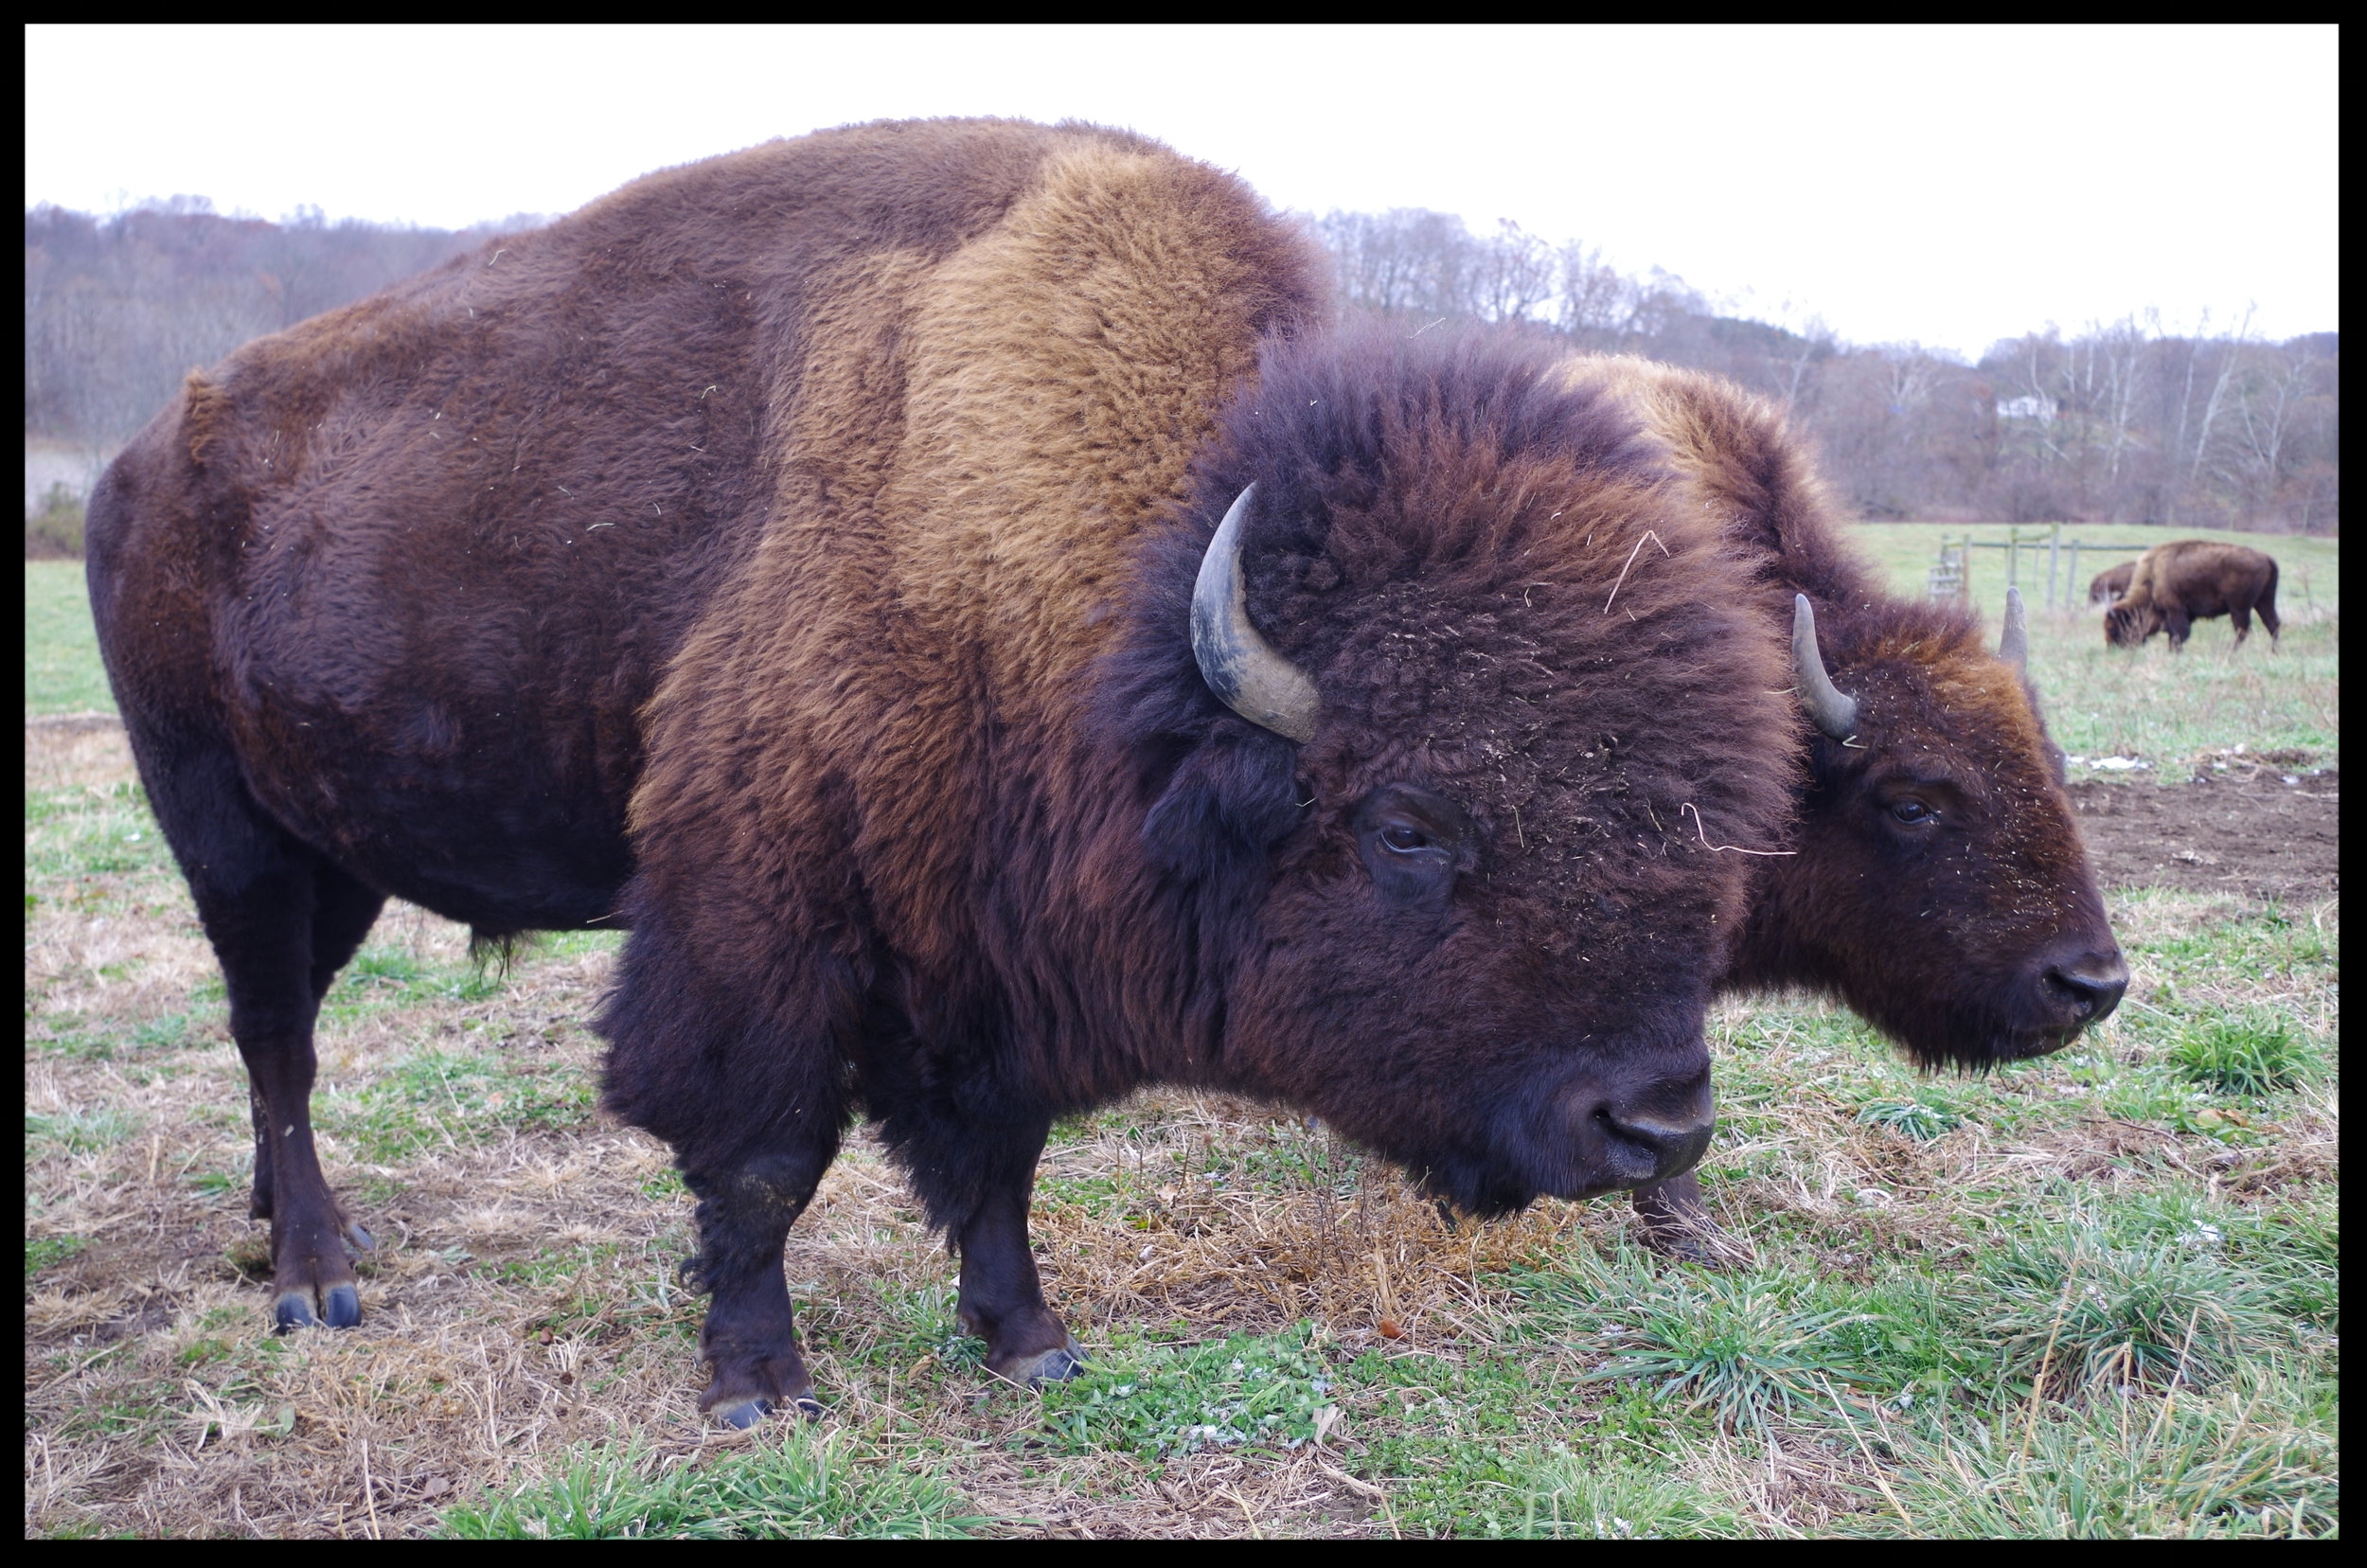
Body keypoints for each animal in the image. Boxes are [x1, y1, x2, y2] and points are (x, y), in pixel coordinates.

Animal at [87, 123, 1808, 1420]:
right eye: (1409, 826)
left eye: (1717, 820)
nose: (1658, 1125)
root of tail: (133, 466)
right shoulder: (758, 925)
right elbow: (761, 1160)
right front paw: (756, 1388)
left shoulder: (982, 949)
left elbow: (995, 1160)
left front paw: (1030, 1341)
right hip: (223, 832)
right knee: (275, 1041)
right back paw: (318, 1280)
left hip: (335, 861)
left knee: (284, 1035)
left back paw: (290, 1235)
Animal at [2111, 540, 2272, 649]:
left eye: (2119, 626)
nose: (2115, 648)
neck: (2152, 577)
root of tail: (2266, 557)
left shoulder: (2175, 611)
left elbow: (2179, 635)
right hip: (2263, 602)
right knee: (2272, 625)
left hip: (2239, 609)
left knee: (2243, 631)